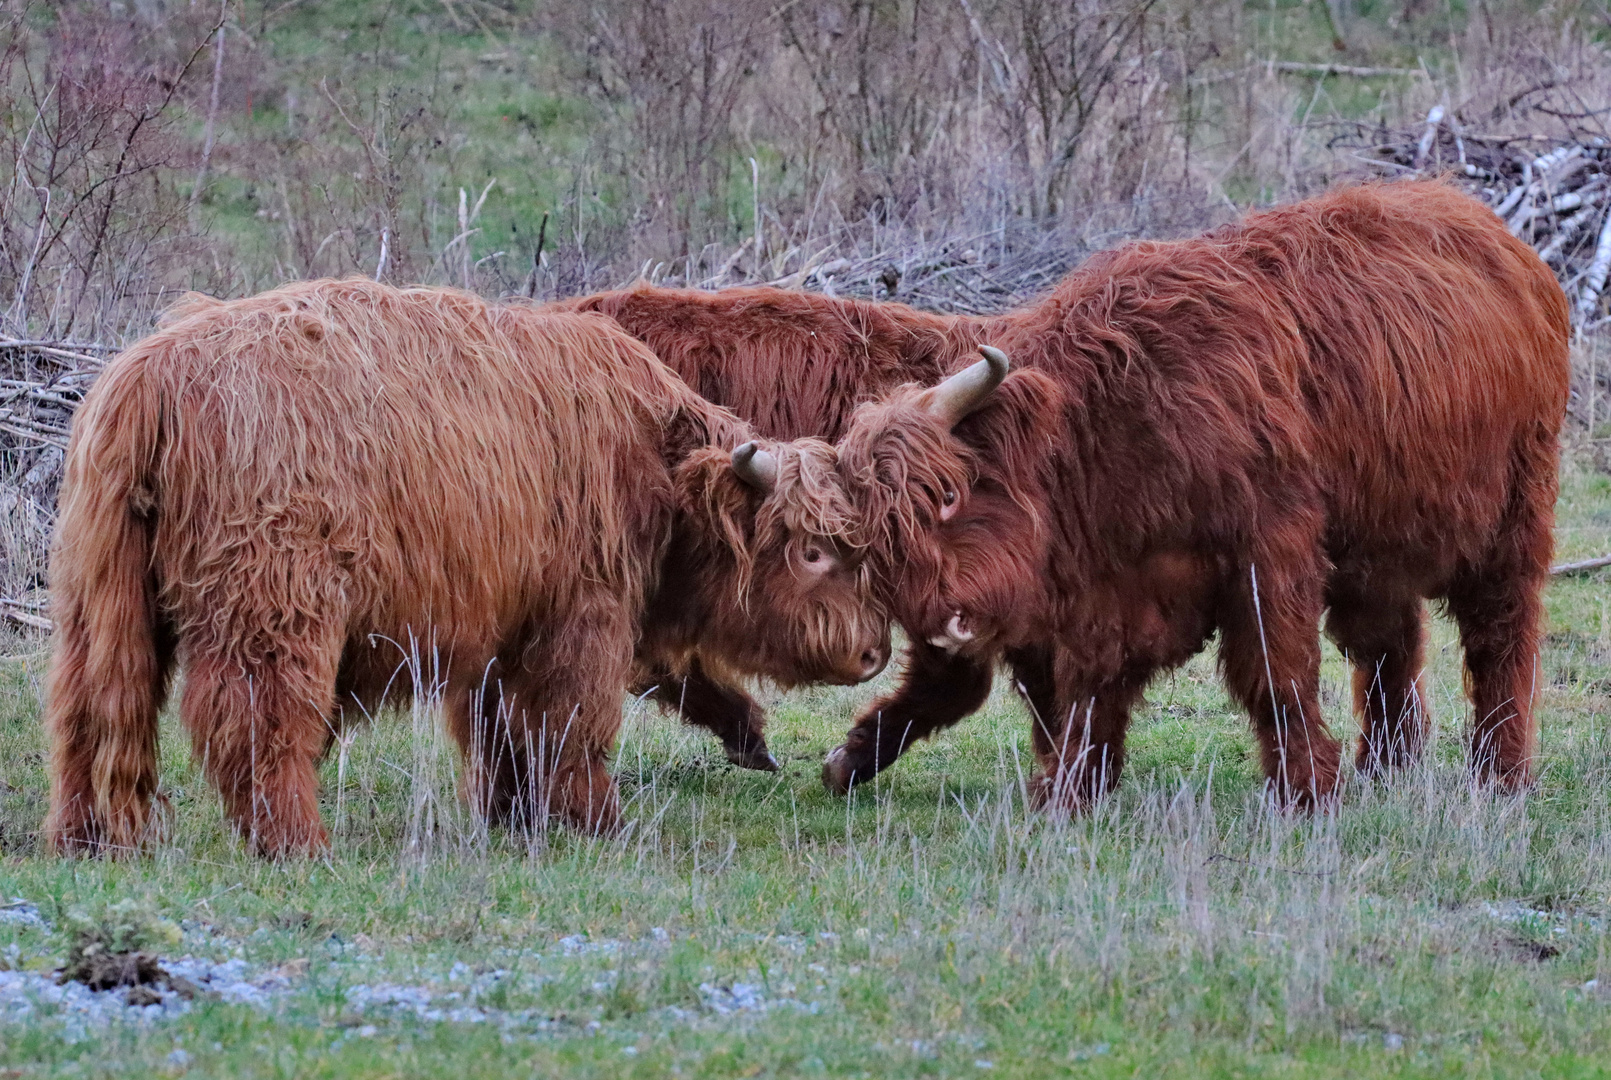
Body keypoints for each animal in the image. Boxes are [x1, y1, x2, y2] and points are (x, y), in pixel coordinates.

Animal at [40, 282, 895, 864]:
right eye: (812, 550)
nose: (872, 650)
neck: (651, 457)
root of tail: (151, 375)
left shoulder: (494, 622)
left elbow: (495, 726)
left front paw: (512, 812)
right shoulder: (582, 613)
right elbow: (574, 720)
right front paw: (597, 820)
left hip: (99, 599)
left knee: (93, 711)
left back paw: (86, 837)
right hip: (276, 607)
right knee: (260, 720)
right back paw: (298, 841)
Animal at [824, 182, 1565, 809]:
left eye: (948, 495)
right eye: (877, 543)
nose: (940, 627)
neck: (1104, 432)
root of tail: (1493, 231)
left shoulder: (1270, 548)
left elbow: (1276, 671)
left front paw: (1306, 791)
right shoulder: (1112, 592)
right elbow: (1091, 687)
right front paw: (1070, 789)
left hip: (1512, 514)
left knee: (1501, 633)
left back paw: (1499, 773)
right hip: (1376, 542)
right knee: (1388, 642)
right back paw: (1386, 766)